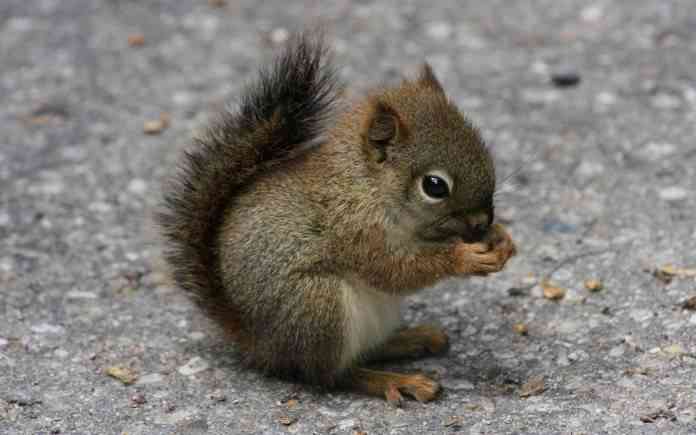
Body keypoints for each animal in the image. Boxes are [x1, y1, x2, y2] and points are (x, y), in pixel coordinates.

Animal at [158, 33, 516, 406]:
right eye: (434, 186)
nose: (482, 221)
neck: (367, 185)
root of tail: (259, 342)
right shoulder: (355, 229)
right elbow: (395, 270)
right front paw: (464, 257)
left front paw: (501, 239)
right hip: (318, 306)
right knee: (330, 374)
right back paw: (394, 380)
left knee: (365, 351)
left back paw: (412, 339)